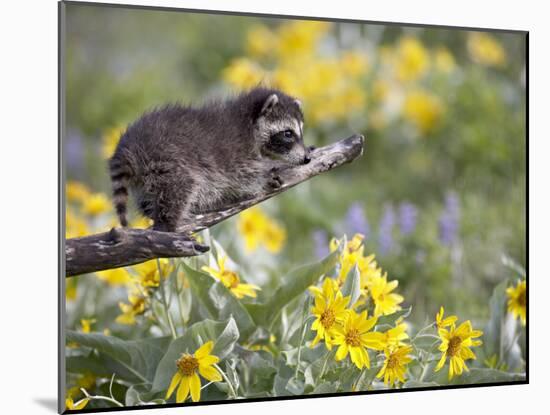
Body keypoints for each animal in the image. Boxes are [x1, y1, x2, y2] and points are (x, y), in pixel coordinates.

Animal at [110, 87, 312, 232]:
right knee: (180, 186)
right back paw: (167, 224)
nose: (307, 159)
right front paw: (267, 173)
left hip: (144, 178)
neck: (249, 122)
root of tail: (129, 145)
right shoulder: (236, 152)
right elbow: (244, 177)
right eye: (288, 134)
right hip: (166, 158)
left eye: (301, 132)